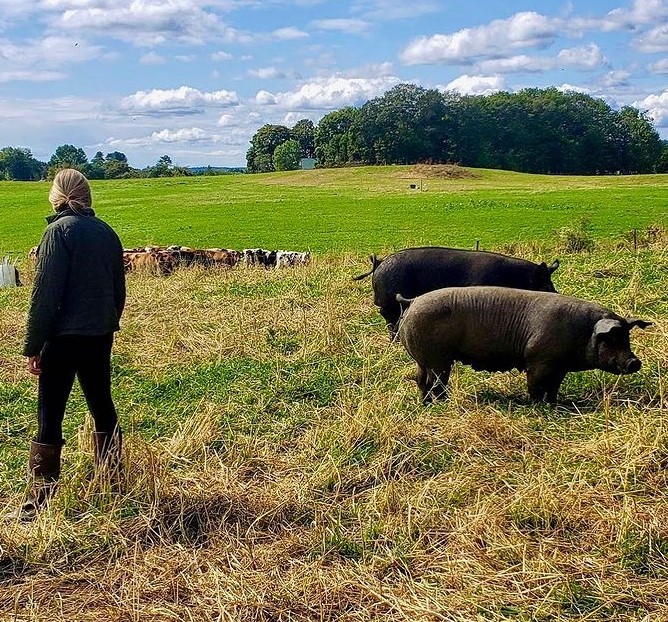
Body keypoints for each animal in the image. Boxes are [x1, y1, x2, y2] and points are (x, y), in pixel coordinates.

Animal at [396, 286, 652, 404]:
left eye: (626, 338)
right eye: (611, 338)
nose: (634, 362)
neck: (583, 332)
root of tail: (413, 301)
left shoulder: (560, 367)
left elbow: (553, 387)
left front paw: (553, 404)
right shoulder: (538, 360)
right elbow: (535, 386)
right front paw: (536, 405)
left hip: (423, 358)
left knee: (421, 380)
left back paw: (426, 403)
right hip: (438, 359)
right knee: (435, 382)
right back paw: (441, 403)